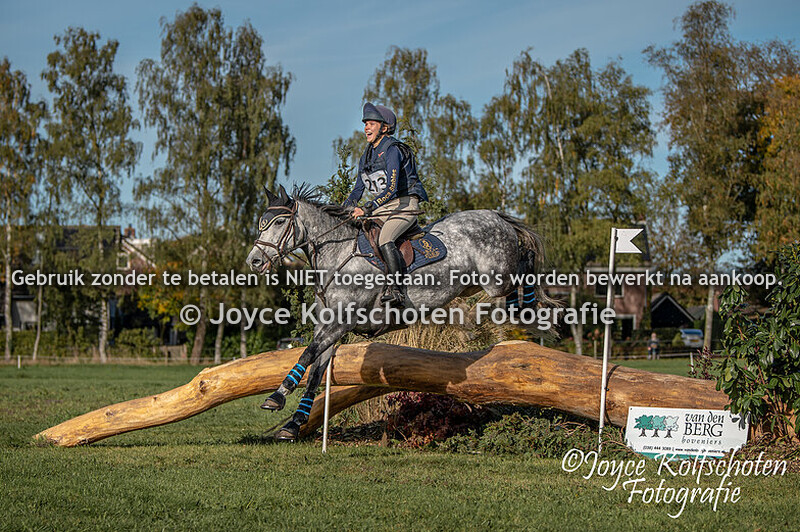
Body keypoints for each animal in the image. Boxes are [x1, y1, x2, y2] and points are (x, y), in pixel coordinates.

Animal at [245, 184, 552, 441]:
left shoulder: (341, 323)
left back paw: (528, 309)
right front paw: (293, 424)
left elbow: (306, 354)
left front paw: (277, 396)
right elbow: (315, 371)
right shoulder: (328, 327)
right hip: (473, 285)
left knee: (524, 265)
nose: (254, 261)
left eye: (279, 222)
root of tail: (496, 216)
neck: (338, 256)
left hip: (496, 278)